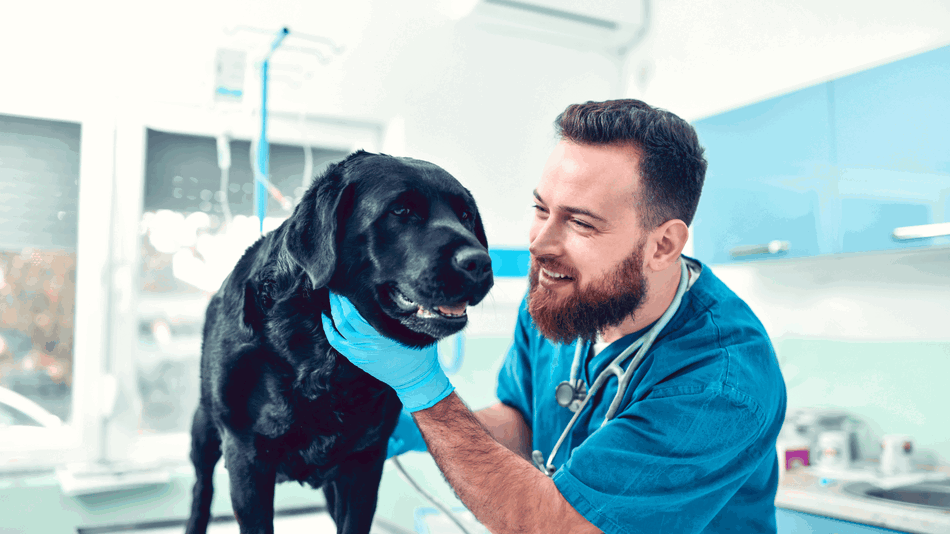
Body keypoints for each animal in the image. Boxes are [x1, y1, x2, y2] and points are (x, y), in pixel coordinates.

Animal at [188, 151, 498, 534]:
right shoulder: (246, 457)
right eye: (401, 211)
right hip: (203, 430)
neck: (324, 362)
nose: (479, 262)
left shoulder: (364, 463)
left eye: (466, 215)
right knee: (202, 488)